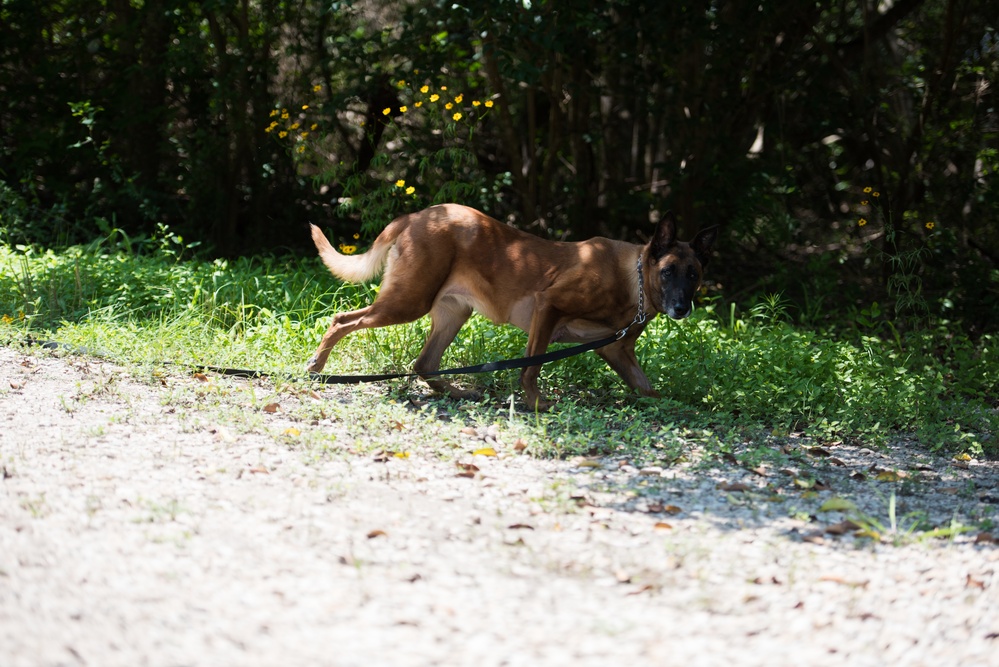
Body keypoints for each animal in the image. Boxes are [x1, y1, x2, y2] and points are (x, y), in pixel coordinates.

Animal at [306, 204, 720, 408]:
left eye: (694, 274)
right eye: (667, 272)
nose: (681, 307)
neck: (634, 281)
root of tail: (415, 215)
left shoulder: (616, 350)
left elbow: (649, 390)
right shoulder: (548, 306)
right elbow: (531, 368)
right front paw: (536, 405)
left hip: (453, 313)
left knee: (423, 364)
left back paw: (459, 394)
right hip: (408, 302)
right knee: (340, 320)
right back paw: (316, 368)